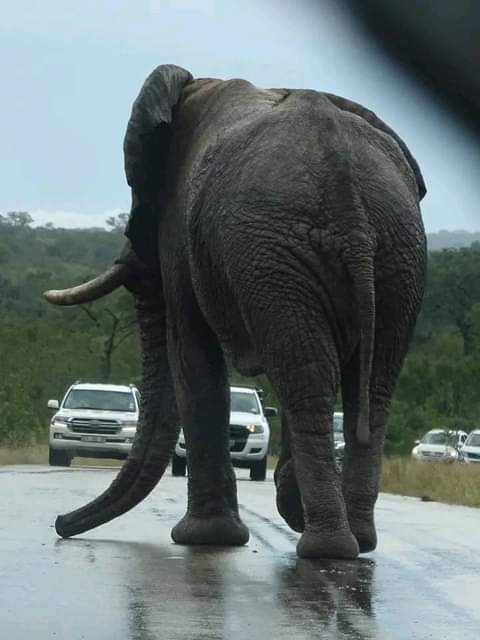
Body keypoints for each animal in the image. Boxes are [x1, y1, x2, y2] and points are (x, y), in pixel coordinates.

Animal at [45, 65, 426, 560]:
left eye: (138, 187)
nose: (61, 523)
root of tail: (349, 194)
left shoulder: (180, 232)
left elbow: (192, 356)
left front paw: (204, 539)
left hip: (279, 256)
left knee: (304, 376)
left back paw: (323, 547)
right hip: (394, 255)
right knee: (369, 384)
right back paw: (356, 541)